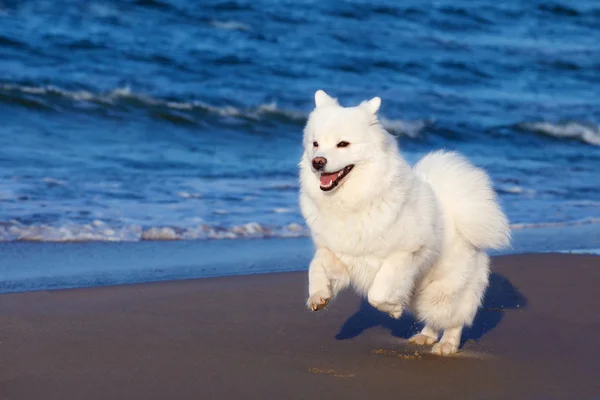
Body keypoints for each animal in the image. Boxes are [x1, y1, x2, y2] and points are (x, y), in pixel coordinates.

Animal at [300, 90, 510, 356]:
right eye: (315, 144)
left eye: (343, 144)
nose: (317, 162)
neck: (354, 200)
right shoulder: (337, 251)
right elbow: (315, 267)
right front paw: (318, 296)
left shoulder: (403, 254)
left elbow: (377, 293)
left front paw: (393, 309)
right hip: (421, 290)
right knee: (433, 319)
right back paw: (425, 337)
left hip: (442, 289)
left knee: (452, 318)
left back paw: (447, 345)